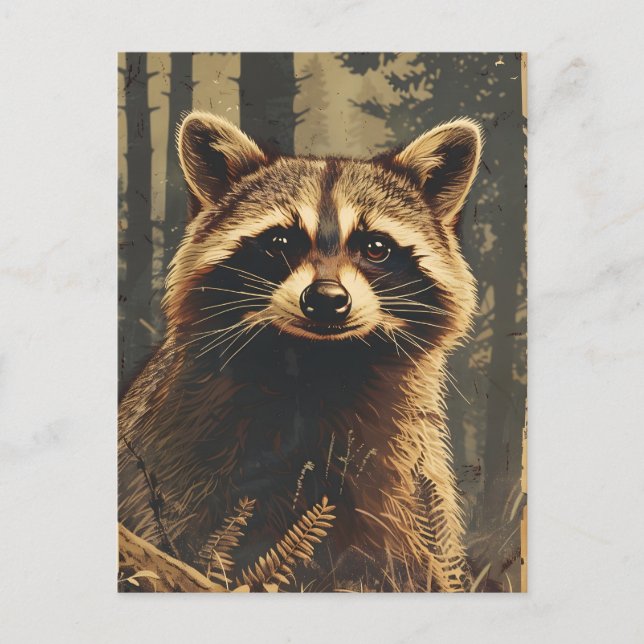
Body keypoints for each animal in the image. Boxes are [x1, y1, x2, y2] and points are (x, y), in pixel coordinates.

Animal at [118, 111, 482, 592]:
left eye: (376, 247)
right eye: (281, 242)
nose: (326, 299)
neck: (319, 363)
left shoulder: (403, 466)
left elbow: (405, 552)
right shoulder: (183, 440)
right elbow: (178, 526)